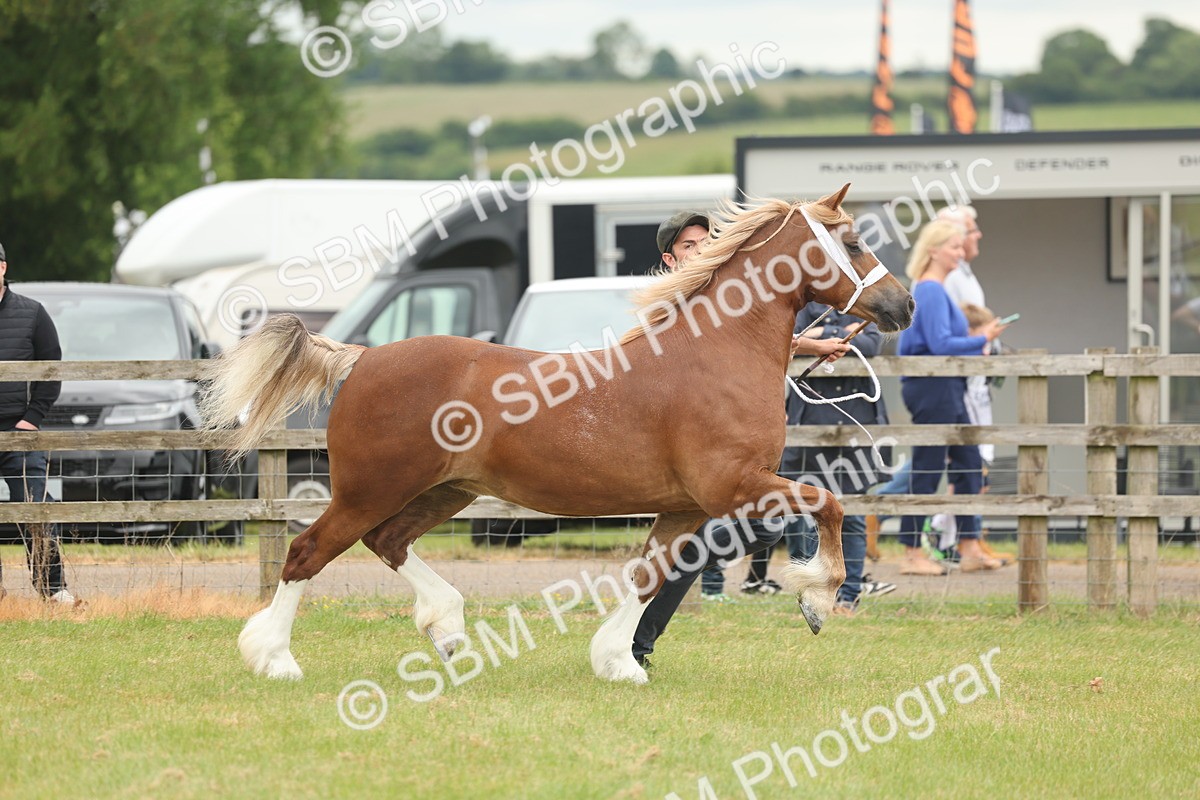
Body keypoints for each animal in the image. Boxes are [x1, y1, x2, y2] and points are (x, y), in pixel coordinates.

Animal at [200, 183, 914, 684]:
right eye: (853, 242)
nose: (903, 305)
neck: (715, 354)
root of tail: (360, 358)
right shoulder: (736, 487)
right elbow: (830, 503)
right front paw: (816, 599)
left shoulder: (684, 508)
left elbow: (649, 577)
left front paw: (618, 662)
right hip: (368, 490)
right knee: (307, 553)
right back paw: (276, 659)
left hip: (446, 490)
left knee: (388, 542)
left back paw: (448, 629)